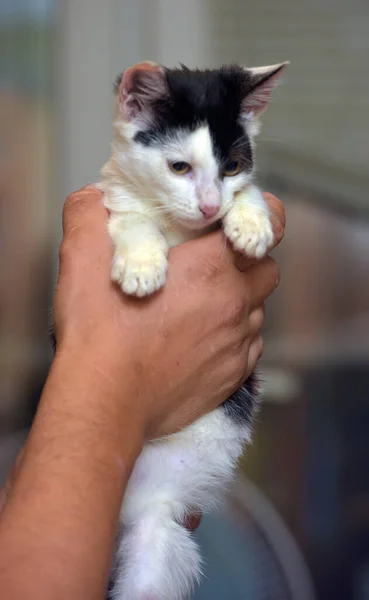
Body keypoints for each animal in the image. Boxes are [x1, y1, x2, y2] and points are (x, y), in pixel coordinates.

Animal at [98, 61, 288, 600]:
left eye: (232, 167)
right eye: (179, 168)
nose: (208, 206)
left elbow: (252, 195)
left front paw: (250, 221)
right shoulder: (114, 199)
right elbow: (132, 218)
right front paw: (142, 262)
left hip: (156, 537)